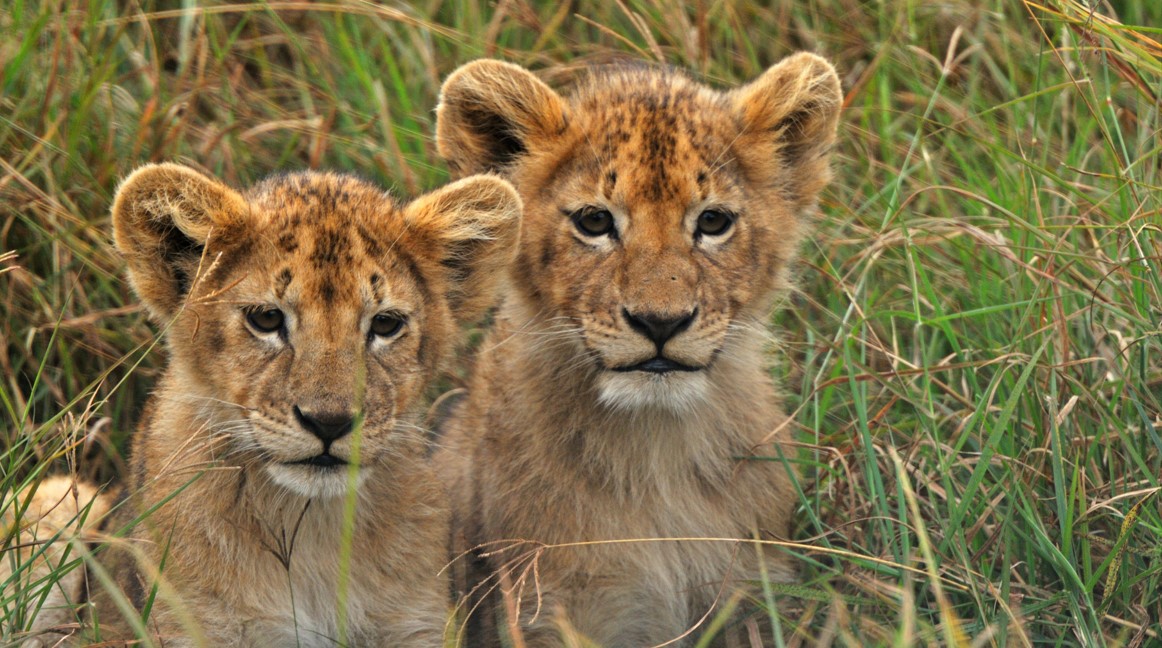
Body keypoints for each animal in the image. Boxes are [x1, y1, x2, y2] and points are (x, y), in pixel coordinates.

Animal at [432, 53, 842, 647]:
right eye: (594, 221)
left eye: (713, 221)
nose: (660, 321)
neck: (655, 452)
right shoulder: (545, 610)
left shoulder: (747, 597)